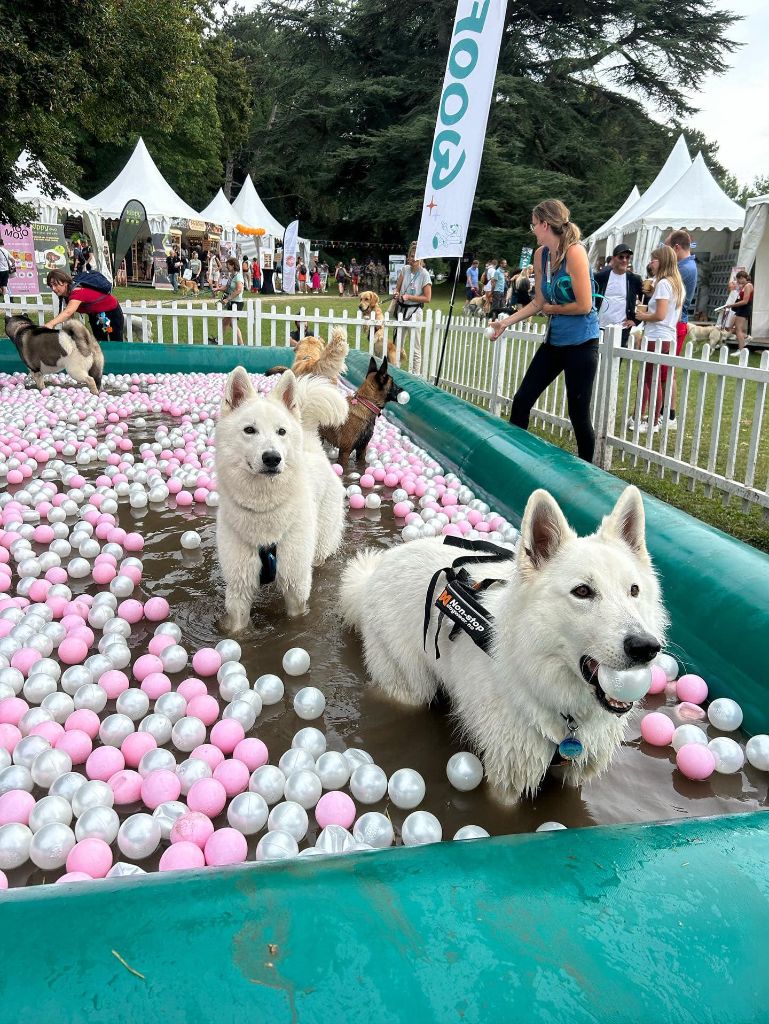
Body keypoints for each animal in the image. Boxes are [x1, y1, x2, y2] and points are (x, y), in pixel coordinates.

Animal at [214, 364, 346, 626]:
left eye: (281, 431)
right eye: (249, 430)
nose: (272, 458)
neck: (263, 508)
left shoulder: (296, 584)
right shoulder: (238, 587)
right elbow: (237, 627)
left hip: (318, 547)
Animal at [342, 483, 667, 802]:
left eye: (634, 590)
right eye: (583, 591)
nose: (645, 648)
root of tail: (378, 568)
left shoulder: (575, 772)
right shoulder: (507, 777)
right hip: (410, 688)